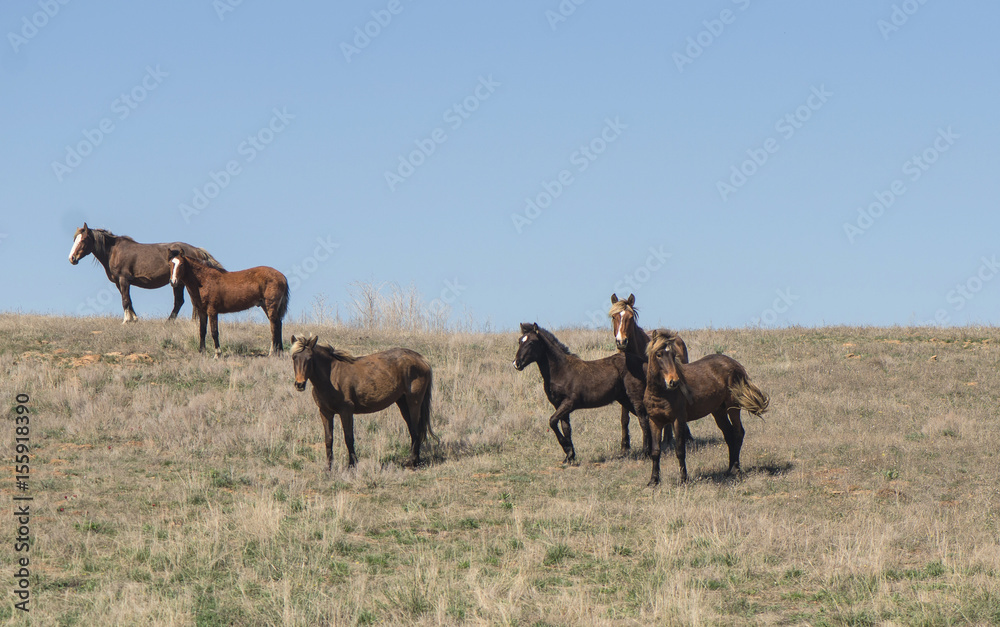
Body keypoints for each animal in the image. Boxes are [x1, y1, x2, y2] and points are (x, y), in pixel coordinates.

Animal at [68, 223, 224, 323]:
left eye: (83, 240)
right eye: (74, 239)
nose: (72, 258)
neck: (114, 251)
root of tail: (197, 250)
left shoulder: (124, 279)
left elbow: (125, 300)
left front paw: (126, 320)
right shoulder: (119, 283)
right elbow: (128, 300)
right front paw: (134, 319)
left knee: (181, 301)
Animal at [290, 334, 436, 470]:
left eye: (309, 358)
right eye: (294, 357)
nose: (299, 384)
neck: (331, 377)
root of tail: (422, 359)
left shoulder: (346, 411)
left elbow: (348, 438)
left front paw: (352, 465)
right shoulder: (325, 412)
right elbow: (328, 439)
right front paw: (329, 468)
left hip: (414, 402)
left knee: (416, 430)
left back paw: (413, 463)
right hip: (403, 403)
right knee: (412, 430)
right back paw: (414, 460)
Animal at [512, 322, 649, 463]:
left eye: (531, 342)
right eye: (519, 341)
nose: (516, 363)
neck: (561, 371)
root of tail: (642, 362)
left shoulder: (569, 403)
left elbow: (552, 421)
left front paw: (567, 448)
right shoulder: (559, 406)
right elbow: (566, 428)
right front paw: (569, 456)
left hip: (635, 397)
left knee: (643, 420)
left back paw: (645, 453)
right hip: (624, 399)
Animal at [609, 293, 692, 453]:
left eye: (630, 317)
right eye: (614, 316)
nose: (621, 341)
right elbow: (624, 417)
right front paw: (625, 445)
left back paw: (667, 440)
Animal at [643, 329, 769, 485]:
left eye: (673, 355)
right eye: (658, 354)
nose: (674, 382)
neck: (660, 393)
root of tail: (736, 364)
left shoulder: (678, 420)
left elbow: (680, 450)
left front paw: (684, 479)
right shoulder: (654, 421)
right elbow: (655, 451)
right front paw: (653, 480)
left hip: (733, 407)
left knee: (738, 433)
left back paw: (736, 469)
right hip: (719, 411)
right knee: (729, 435)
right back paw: (729, 470)